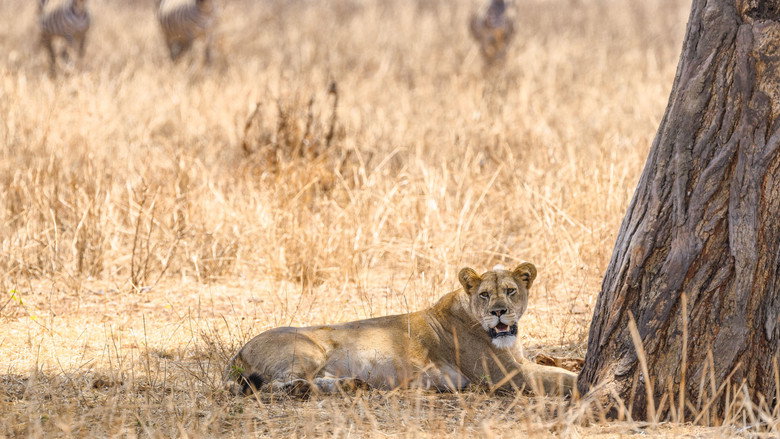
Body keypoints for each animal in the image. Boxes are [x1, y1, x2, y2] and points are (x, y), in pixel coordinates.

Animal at [224, 263, 577, 397]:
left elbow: (556, 365)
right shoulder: (507, 376)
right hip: (308, 350)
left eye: (510, 291)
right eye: (485, 295)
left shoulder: (518, 362)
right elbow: (560, 378)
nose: (499, 312)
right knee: (272, 386)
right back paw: (305, 389)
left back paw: (351, 384)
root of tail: (237, 354)